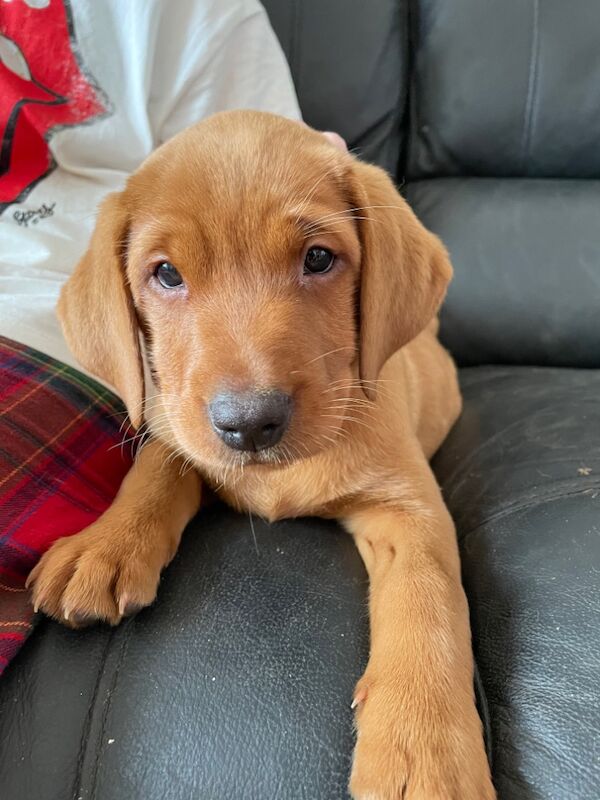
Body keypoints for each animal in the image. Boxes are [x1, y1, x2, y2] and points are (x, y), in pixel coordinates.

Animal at [28, 111, 494, 800]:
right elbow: (155, 467)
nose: (249, 424)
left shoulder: (410, 505)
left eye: (319, 258)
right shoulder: (175, 426)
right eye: (167, 274)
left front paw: (426, 742)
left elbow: (427, 598)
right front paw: (104, 544)